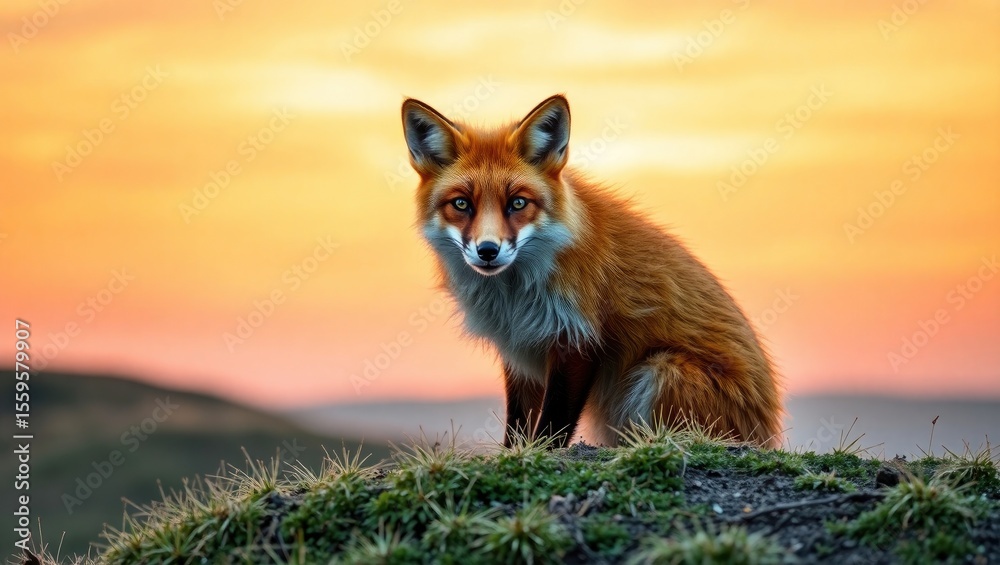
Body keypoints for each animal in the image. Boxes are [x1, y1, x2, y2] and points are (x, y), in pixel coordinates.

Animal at [401, 94, 782, 448]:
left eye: (518, 203)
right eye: (462, 204)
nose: (488, 251)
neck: (515, 295)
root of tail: (767, 434)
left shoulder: (579, 338)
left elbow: (553, 427)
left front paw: (543, 455)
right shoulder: (520, 349)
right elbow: (518, 428)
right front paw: (513, 457)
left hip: (662, 371)